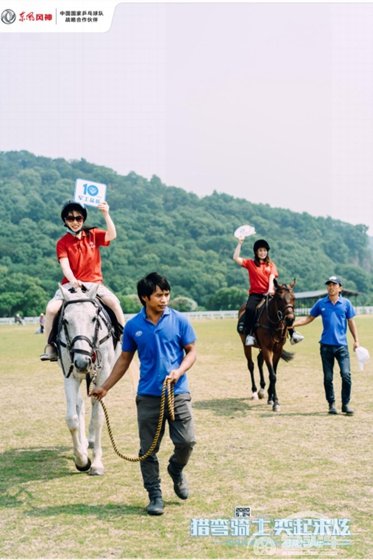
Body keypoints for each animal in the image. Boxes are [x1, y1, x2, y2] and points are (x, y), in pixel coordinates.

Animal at [56, 286, 120, 474]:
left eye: (93, 318)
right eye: (65, 321)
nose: (82, 362)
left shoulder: (103, 375)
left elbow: (99, 417)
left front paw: (97, 463)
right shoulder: (69, 375)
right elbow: (71, 419)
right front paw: (82, 460)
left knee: (92, 402)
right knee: (80, 404)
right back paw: (84, 443)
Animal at [237, 278, 294, 412]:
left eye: (293, 298)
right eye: (279, 298)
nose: (290, 319)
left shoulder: (277, 349)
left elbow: (273, 372)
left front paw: (271, 397)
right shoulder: (267, 349)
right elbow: (272, 375)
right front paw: (276, 402)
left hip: (261, 348)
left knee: (259, 361)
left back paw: (262, 390)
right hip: (246, 345)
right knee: (251, 365)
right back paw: (254, 392)